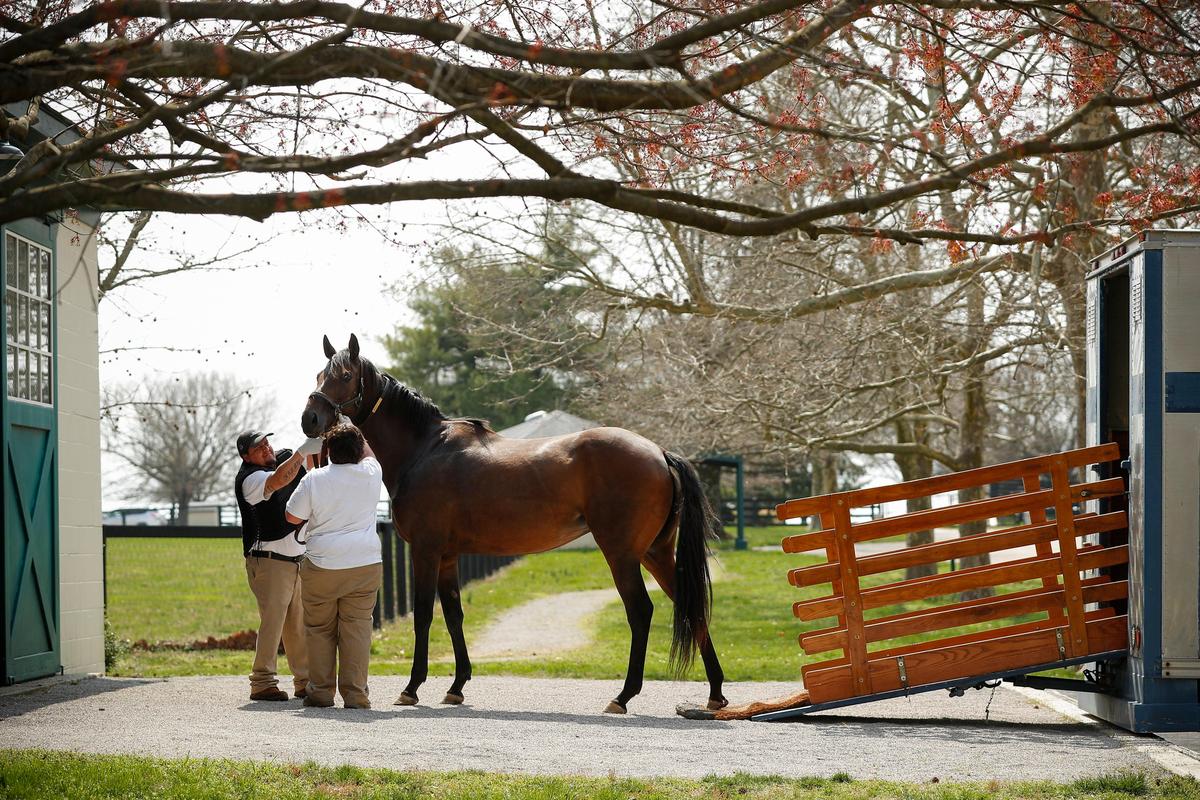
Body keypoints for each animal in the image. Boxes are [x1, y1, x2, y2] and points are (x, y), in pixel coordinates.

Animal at [301, 334, 728, 714]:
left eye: (343, 376)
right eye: (318, 375)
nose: (310, 418)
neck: (425, 448)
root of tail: (659, 451)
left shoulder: (425, 551)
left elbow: (424, 615)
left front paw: (412, 688)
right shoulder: (448, 556)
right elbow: (454, 615)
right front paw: (456, 686)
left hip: (622, 554)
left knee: (640, 612)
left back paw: (623, 696)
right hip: (656, 553)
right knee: (692, 608)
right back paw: (715, 693)